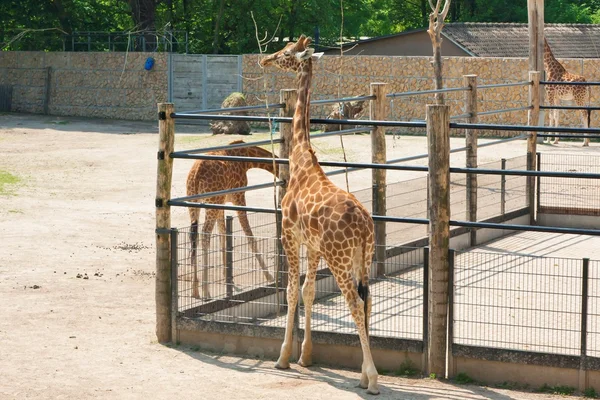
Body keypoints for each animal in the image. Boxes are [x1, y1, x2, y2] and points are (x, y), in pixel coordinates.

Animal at [258, 36, 380, 396]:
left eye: (286, 53)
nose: (264, 59)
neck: (300, 158)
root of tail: (364, 227)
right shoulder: (312, 246)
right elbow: (308, 291)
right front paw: (306, 355)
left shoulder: (288, 233)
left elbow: (289, 292)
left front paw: (283, 357)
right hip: (363, 257)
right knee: (367, 300)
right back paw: (363, 374)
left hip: (339, 259)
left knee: (354, 302)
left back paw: (372, 379)